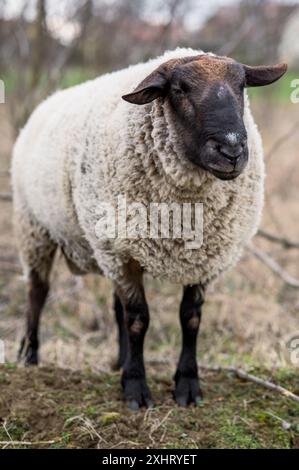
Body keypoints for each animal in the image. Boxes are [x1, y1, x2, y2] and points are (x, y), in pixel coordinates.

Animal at [12, 48, 288, 408]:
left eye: (242, 85)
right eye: (179, 89)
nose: (231, 150)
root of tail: (45, 103)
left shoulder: (204, 256)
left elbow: (190, 318)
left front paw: (187, 386)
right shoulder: (122, 251)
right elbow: (139, 320)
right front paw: (135, 389)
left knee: (115, 305)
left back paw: (119, 360)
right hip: (35, 228)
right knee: (37, 293)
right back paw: (29, 356)